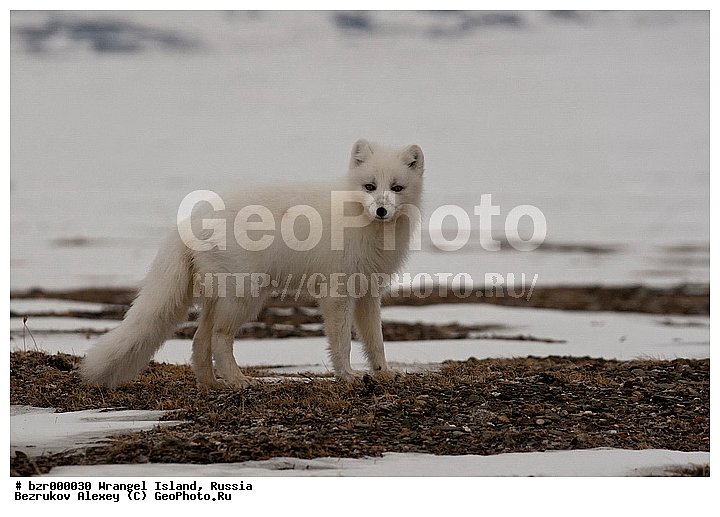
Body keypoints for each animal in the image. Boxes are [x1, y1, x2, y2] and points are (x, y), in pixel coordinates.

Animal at [81, 139, 424, 389]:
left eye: (396, 188)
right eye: (370, 186)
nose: (381, 210)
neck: (368, 229)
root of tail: (192, 219)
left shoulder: (369, 291)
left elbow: (375, 341)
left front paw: (383, 372)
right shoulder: (337, 293)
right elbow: (342, 342)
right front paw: (348, 376)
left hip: (221, 297)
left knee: (199, 339)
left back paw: (212, 385)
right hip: (246, 297)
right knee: (219, 339)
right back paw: (238, 380)